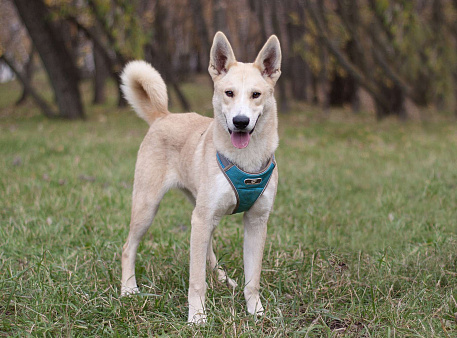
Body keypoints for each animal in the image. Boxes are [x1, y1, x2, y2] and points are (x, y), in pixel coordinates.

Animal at [119, 32, 280, 324]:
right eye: (229, 93)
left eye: (256, 94)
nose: (240, 122)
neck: (245, 160)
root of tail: (163, 116)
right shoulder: (202, 219)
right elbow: (196, 280)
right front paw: (197, 317)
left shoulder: (256, 221)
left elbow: (253, 279)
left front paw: (256, 312)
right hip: (148, 207)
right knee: (128, 247)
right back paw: (128, 289)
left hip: (203, 213)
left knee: (208, 250)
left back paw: (223, 279)